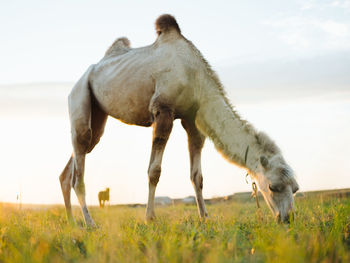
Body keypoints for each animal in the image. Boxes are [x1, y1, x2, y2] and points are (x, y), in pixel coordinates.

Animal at [59, 14, 298, 228]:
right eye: (273, 187)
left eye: (295, 188)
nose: (288, 218)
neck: (196, 77)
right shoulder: (163, 110)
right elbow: (154, 171)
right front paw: (150, 218)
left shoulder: (193, 120)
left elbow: (197, 176)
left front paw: (205, 217)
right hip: (80, 96)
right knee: (79, 166)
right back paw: (90, 224)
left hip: (98, 116)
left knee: (73, 164)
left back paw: (71, 222)